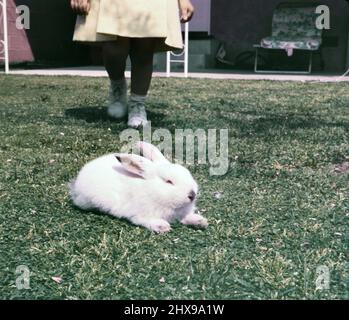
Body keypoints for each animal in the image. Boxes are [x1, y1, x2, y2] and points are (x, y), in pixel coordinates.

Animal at [69, 142, 208, 232]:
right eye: (169, 182)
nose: (192, 194)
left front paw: (201, 221)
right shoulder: (140, 214)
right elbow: (145, 220)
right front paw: (162, 227)